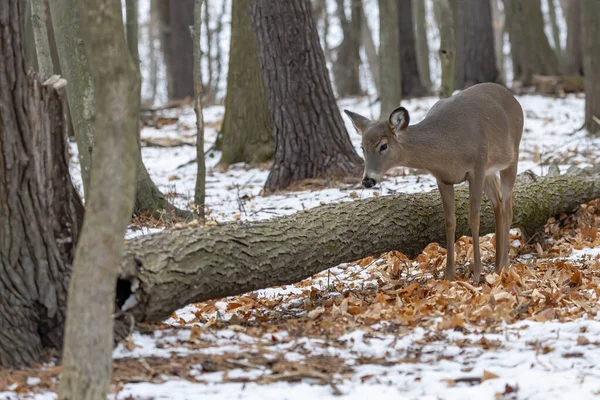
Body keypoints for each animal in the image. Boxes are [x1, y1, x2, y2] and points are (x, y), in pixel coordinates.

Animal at [344, 81, 524, 282]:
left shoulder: (476, 168)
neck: (447, 144)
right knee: (498, 204)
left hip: (511, 158)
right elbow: (449, 222)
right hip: (489, 172)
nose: (368, 180)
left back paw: (505, 266)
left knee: (507, 208)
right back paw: (498, 265)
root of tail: (513, 97)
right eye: (362, 147)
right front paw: (449, 274)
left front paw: (477, 274)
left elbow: (474, 218)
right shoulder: (443, 178)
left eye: (383, 145)